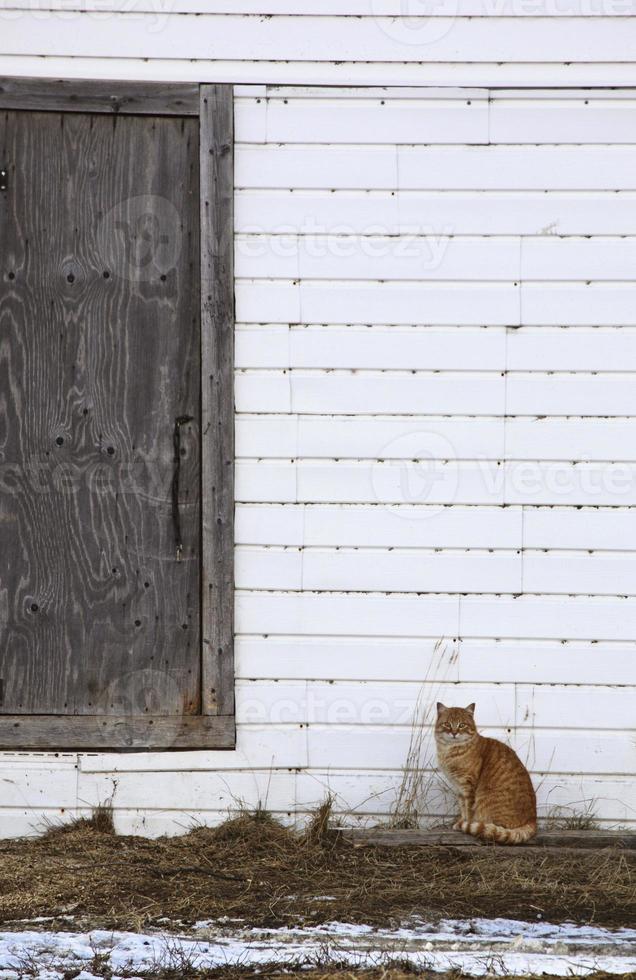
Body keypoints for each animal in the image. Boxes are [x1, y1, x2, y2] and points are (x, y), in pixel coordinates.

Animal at [434, 700, 536, 848]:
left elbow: (469, 810)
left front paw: (466, 824)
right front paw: (461, 822)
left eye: (462, 725)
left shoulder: (468, 786)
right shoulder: (459, 788)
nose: (454, 733)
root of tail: (533, 819)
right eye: (447, 724)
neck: (451, 751)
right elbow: (463, 808)